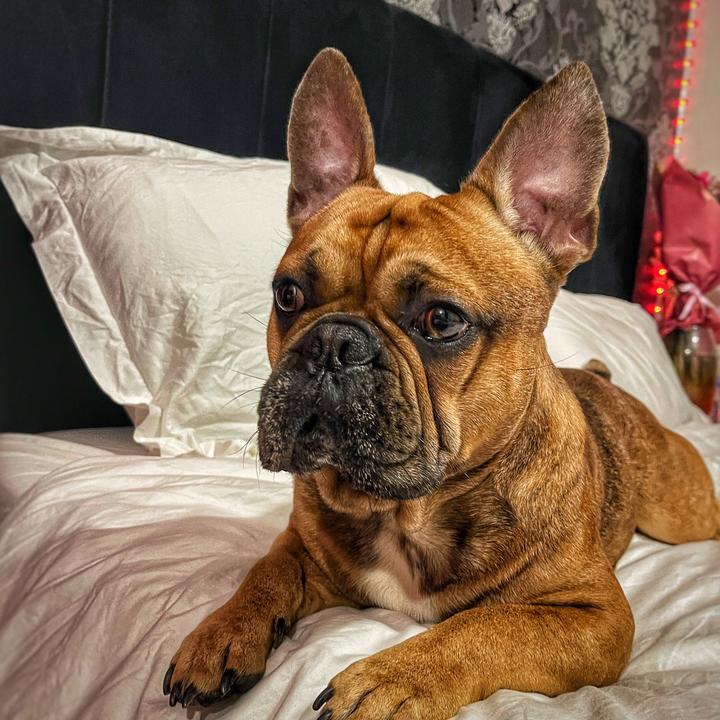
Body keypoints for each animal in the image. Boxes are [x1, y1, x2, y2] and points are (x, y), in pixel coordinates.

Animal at [163, 48, 720, 718]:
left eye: (440, 320)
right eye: (288, 295)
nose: (332, 344)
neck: (406, 512)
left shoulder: (595, 615)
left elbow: (488, 625)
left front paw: (391, 678)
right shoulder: (305, 549)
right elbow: (266, 569)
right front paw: (221, 632)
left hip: (683, 514)